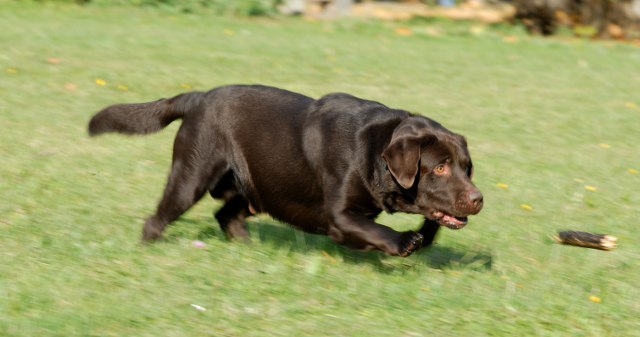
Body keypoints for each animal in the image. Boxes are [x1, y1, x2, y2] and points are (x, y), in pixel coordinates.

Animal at [89, 85, 480, 256]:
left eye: (467, 168)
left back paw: (249, 249)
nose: (478, 199)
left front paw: (423, 235)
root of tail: (197, 96)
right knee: (158, 218)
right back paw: (148, 249)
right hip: (192, 175)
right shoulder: (340, 215)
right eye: (440, 167)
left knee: (226, 214)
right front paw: (403, 242)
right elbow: (376, 229)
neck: (373, 151)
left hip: (257, 187)